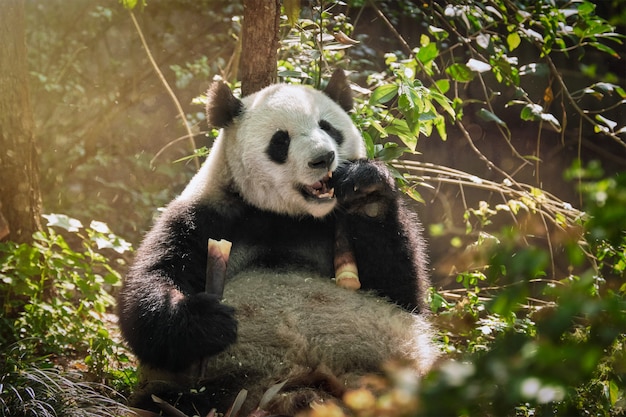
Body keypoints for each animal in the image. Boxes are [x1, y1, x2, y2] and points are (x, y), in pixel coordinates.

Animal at [118, 70, 438, 414]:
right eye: (281, 140)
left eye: (328, 127)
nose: (323, 158)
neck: (287, 217)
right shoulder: (204, 217)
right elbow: (148, 291)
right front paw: (207, 320)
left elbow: (402, 291)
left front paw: (367, 191)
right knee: (170, 398)